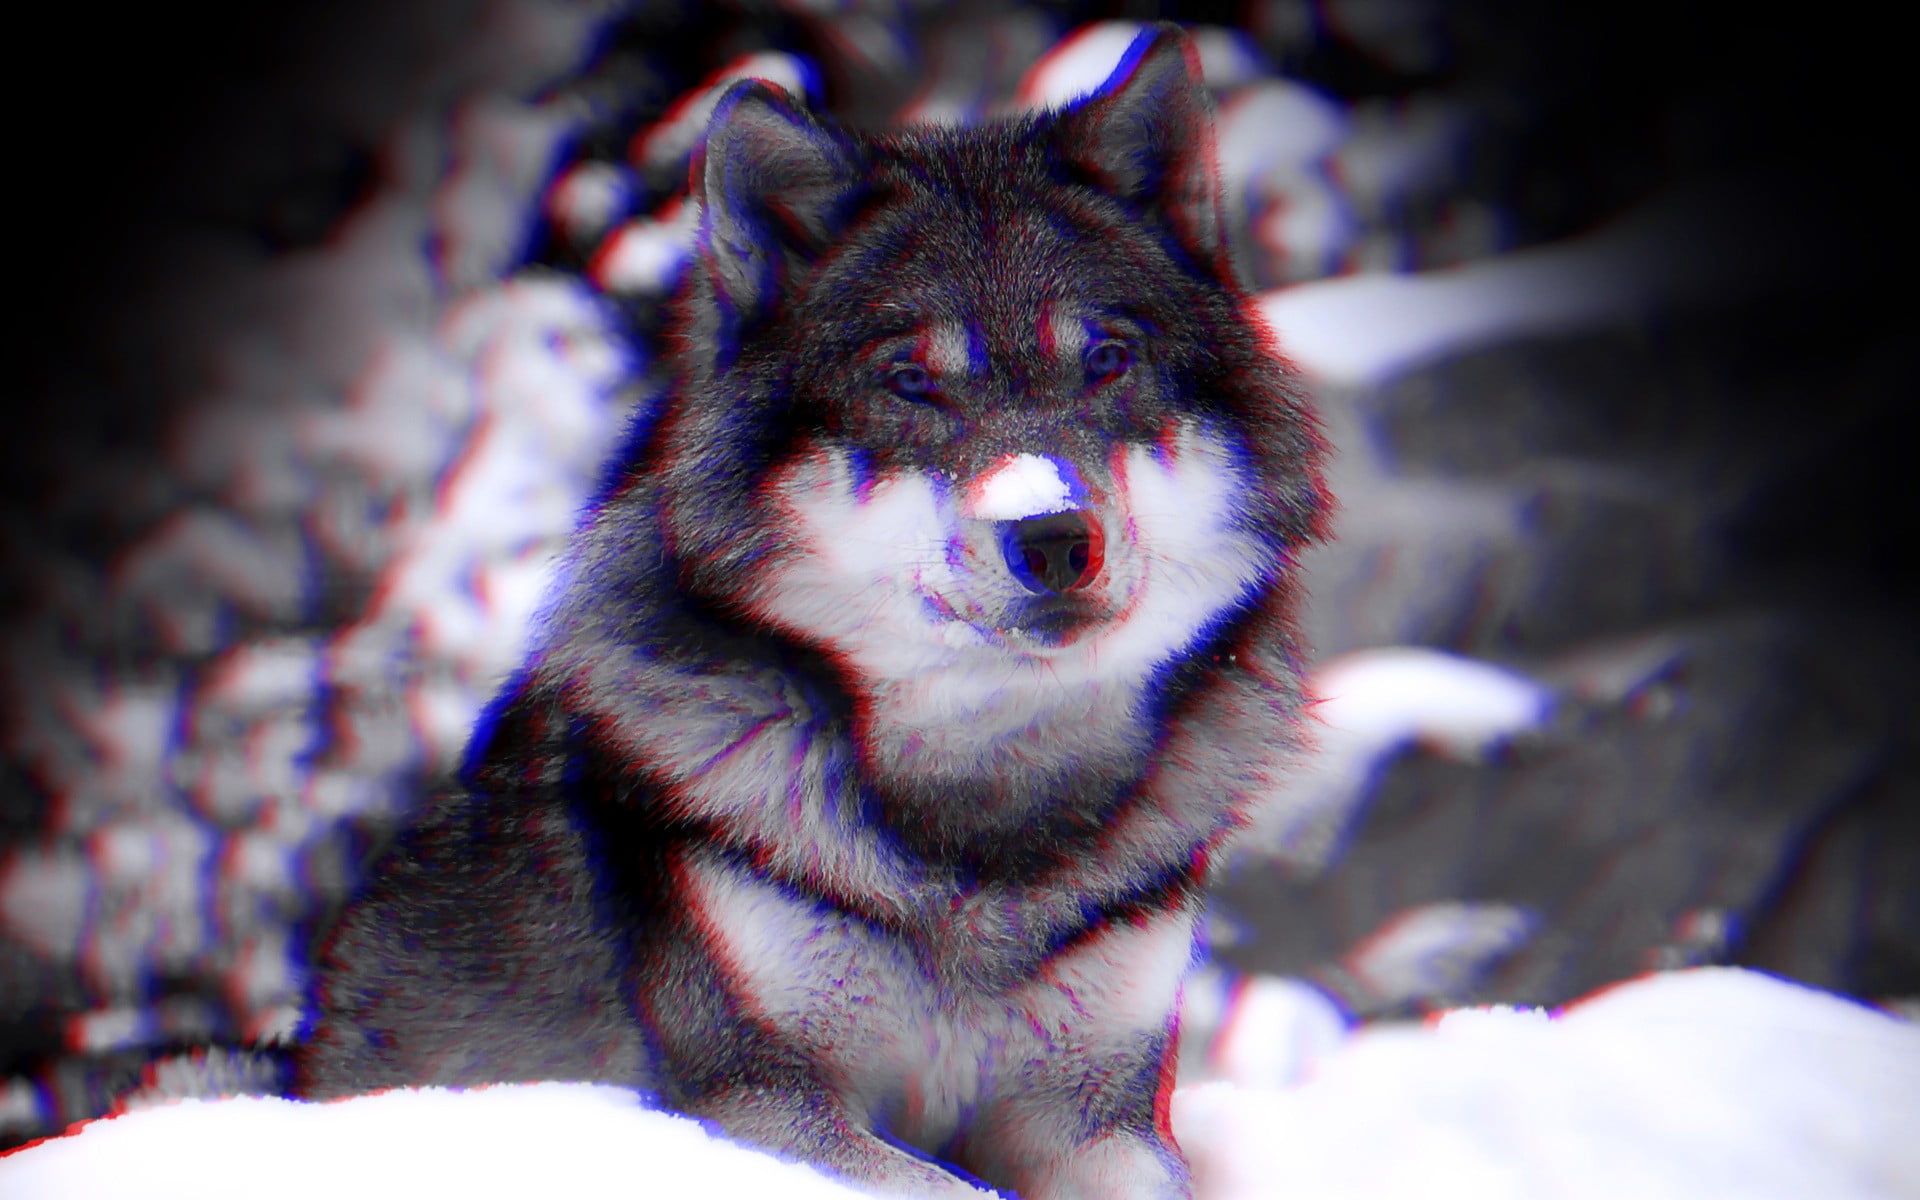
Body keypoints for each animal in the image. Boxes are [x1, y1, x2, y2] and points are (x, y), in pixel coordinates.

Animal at [295, 24, 1328, 1199]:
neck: (981, 824)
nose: (1056, 536)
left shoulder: (1098, 1117)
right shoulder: (756, 1100)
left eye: (1108, 361)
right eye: (911, 382)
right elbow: (949, 1188)